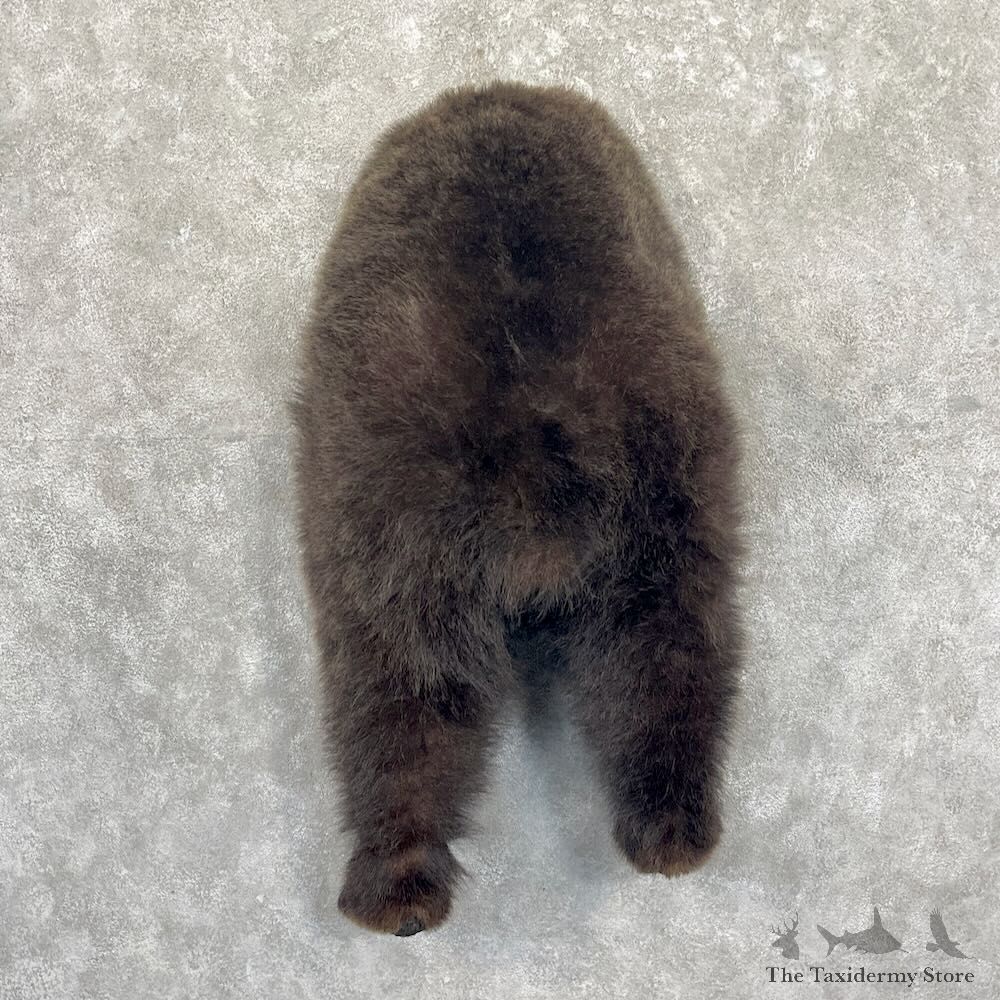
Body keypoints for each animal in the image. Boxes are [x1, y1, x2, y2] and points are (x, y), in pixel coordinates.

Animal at [292, 81, 744, 936]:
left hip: (386, 532)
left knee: (401, 694)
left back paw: (394, 865)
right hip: (663, 505)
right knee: (664, 654)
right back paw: (668, 819)